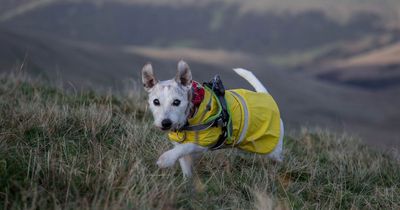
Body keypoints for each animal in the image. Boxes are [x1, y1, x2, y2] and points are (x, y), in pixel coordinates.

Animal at [142, 60, 282, 177]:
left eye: (177, 102)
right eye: (156, 102)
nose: (165, 123)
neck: (192, 111)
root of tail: (265, 94)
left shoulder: (205, 142)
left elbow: (186, 147)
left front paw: (166, 159)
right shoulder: (179, 145)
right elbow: (183, 159)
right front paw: (187, 183)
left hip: (273, 149)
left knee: (278, 158)